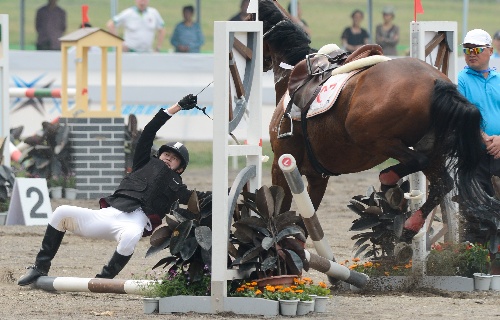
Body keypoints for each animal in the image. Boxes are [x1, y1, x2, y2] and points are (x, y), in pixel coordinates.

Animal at [256, 0, 500, 241]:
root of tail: (436, 82)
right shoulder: (317, 177)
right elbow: (306, 225)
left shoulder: (282, 166)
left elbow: (282, 214)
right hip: (432, 147)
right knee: (442, 183)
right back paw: (411, 224)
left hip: (374, 138)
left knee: (418, 161)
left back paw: (390, 180)